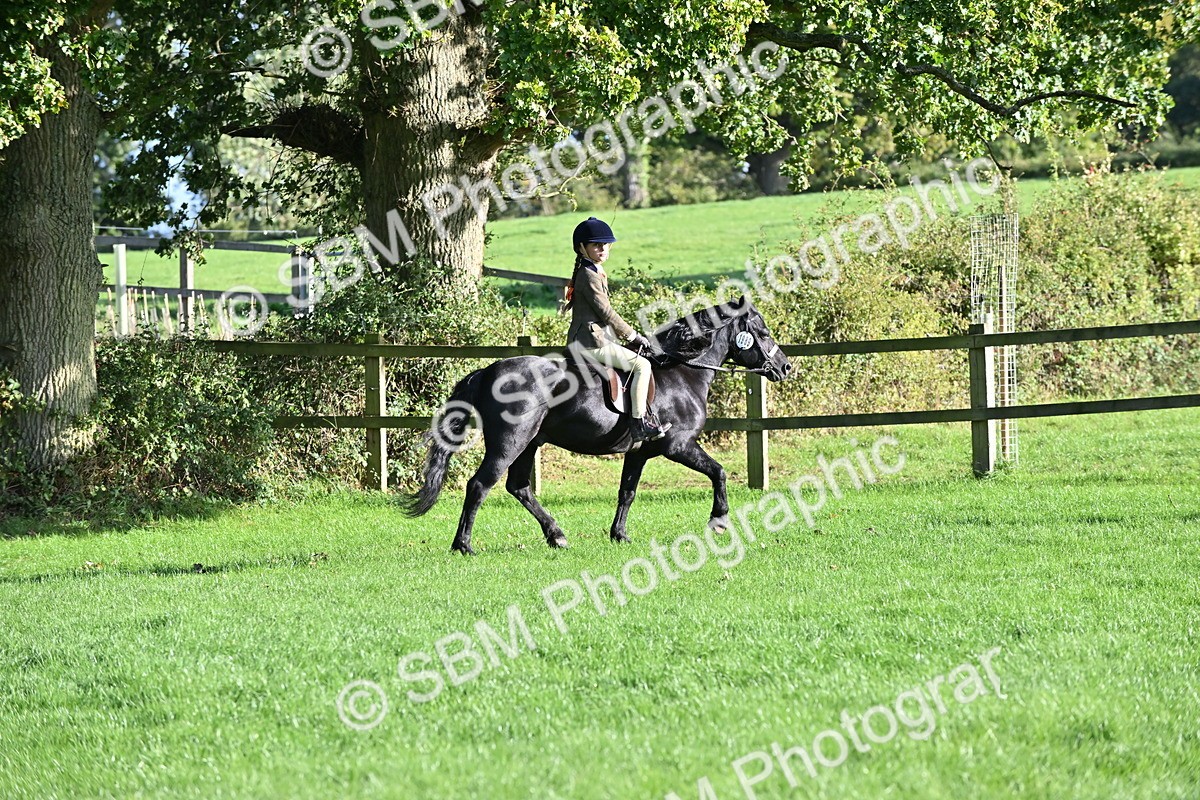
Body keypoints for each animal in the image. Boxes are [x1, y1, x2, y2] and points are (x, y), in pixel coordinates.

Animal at [403, 297, 793, 554]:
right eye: (763, 332)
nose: (786, 367)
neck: (682, 371)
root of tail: (488, 372)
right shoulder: (678, 446)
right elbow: (719, 472)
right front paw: (719, 520)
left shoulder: (640, 452)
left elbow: (627, 492)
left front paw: (619, 535)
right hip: (510, 442)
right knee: (480, 485)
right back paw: (463, 545)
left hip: (530, 443)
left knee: (519, 487)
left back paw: (556, 536)